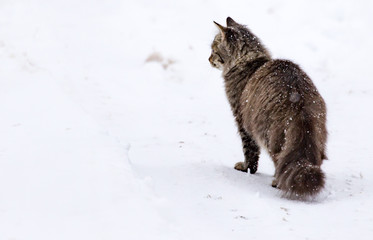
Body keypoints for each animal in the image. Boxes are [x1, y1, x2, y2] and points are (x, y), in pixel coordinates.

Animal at [208, 15, 326, 198]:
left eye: (213, 48)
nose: (208, 59)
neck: (248, 61)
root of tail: (298, 99)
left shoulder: (242, 120)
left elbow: (250, 151)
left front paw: (246, 168)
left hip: (268, 134)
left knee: (279, 159)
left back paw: (277, 182)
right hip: (316, 138)